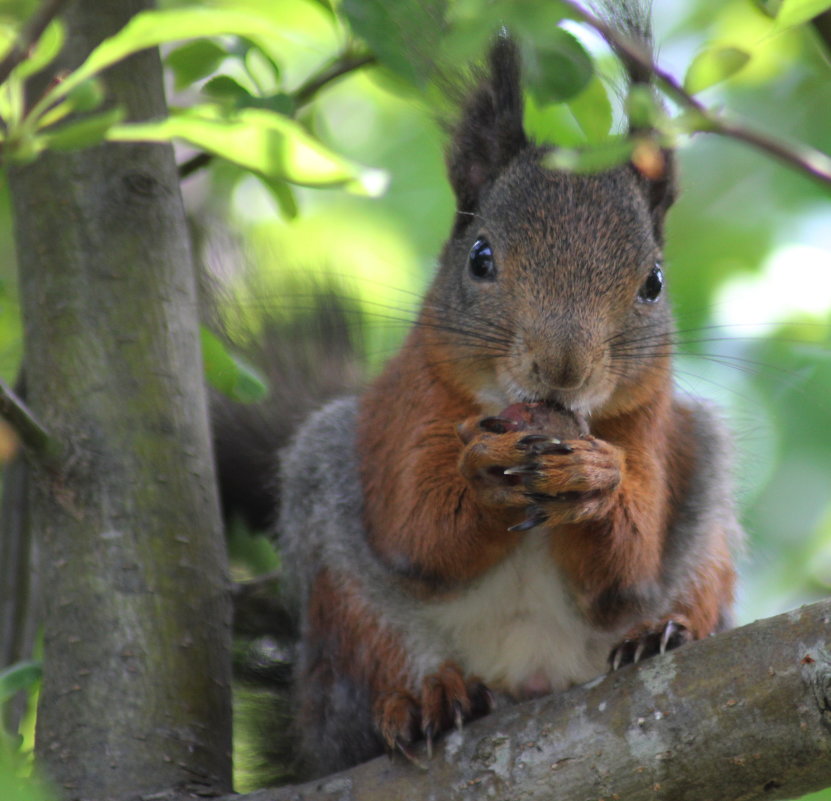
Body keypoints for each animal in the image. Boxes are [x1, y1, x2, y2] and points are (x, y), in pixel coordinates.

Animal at [250, 10, 744, 780]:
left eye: (654, 282)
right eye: (480, 257)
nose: (562, 367)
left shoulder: (649, 427)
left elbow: (629, 559)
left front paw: (596, 475)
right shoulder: (408, 409)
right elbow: (415, 527)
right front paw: (478, 472)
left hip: (708, 492)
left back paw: (663, 633)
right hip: (336, 570)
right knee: (376, 645)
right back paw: (426, 697)